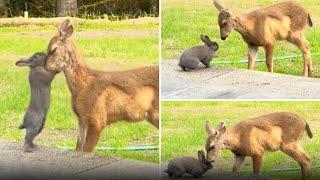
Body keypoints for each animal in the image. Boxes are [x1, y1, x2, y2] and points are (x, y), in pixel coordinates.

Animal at [44, 19, 159, 152]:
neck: (82, 85)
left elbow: (87, 150)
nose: (45, 67)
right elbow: (78, 148)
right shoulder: (81, 119)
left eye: (53, 50)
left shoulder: (97, 118)